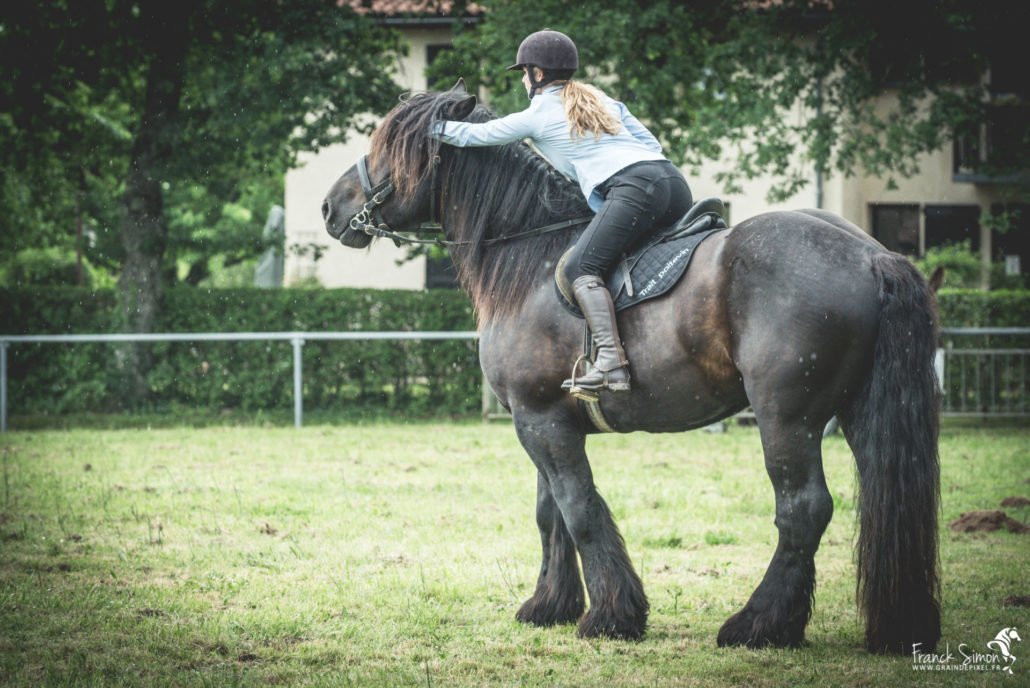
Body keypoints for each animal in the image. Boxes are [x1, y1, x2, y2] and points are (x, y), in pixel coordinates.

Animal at [321, 81, 942, 654]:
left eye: (387, 148)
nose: (330, 208)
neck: (528, 261)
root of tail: (870, 254)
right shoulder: (544, 420)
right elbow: (550, 512)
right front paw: (550, 605)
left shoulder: (540, 420)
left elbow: (578, 510)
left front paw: (612, 616)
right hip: (858, 412)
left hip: (787, 418)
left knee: (802, 510)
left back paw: (758, 625)